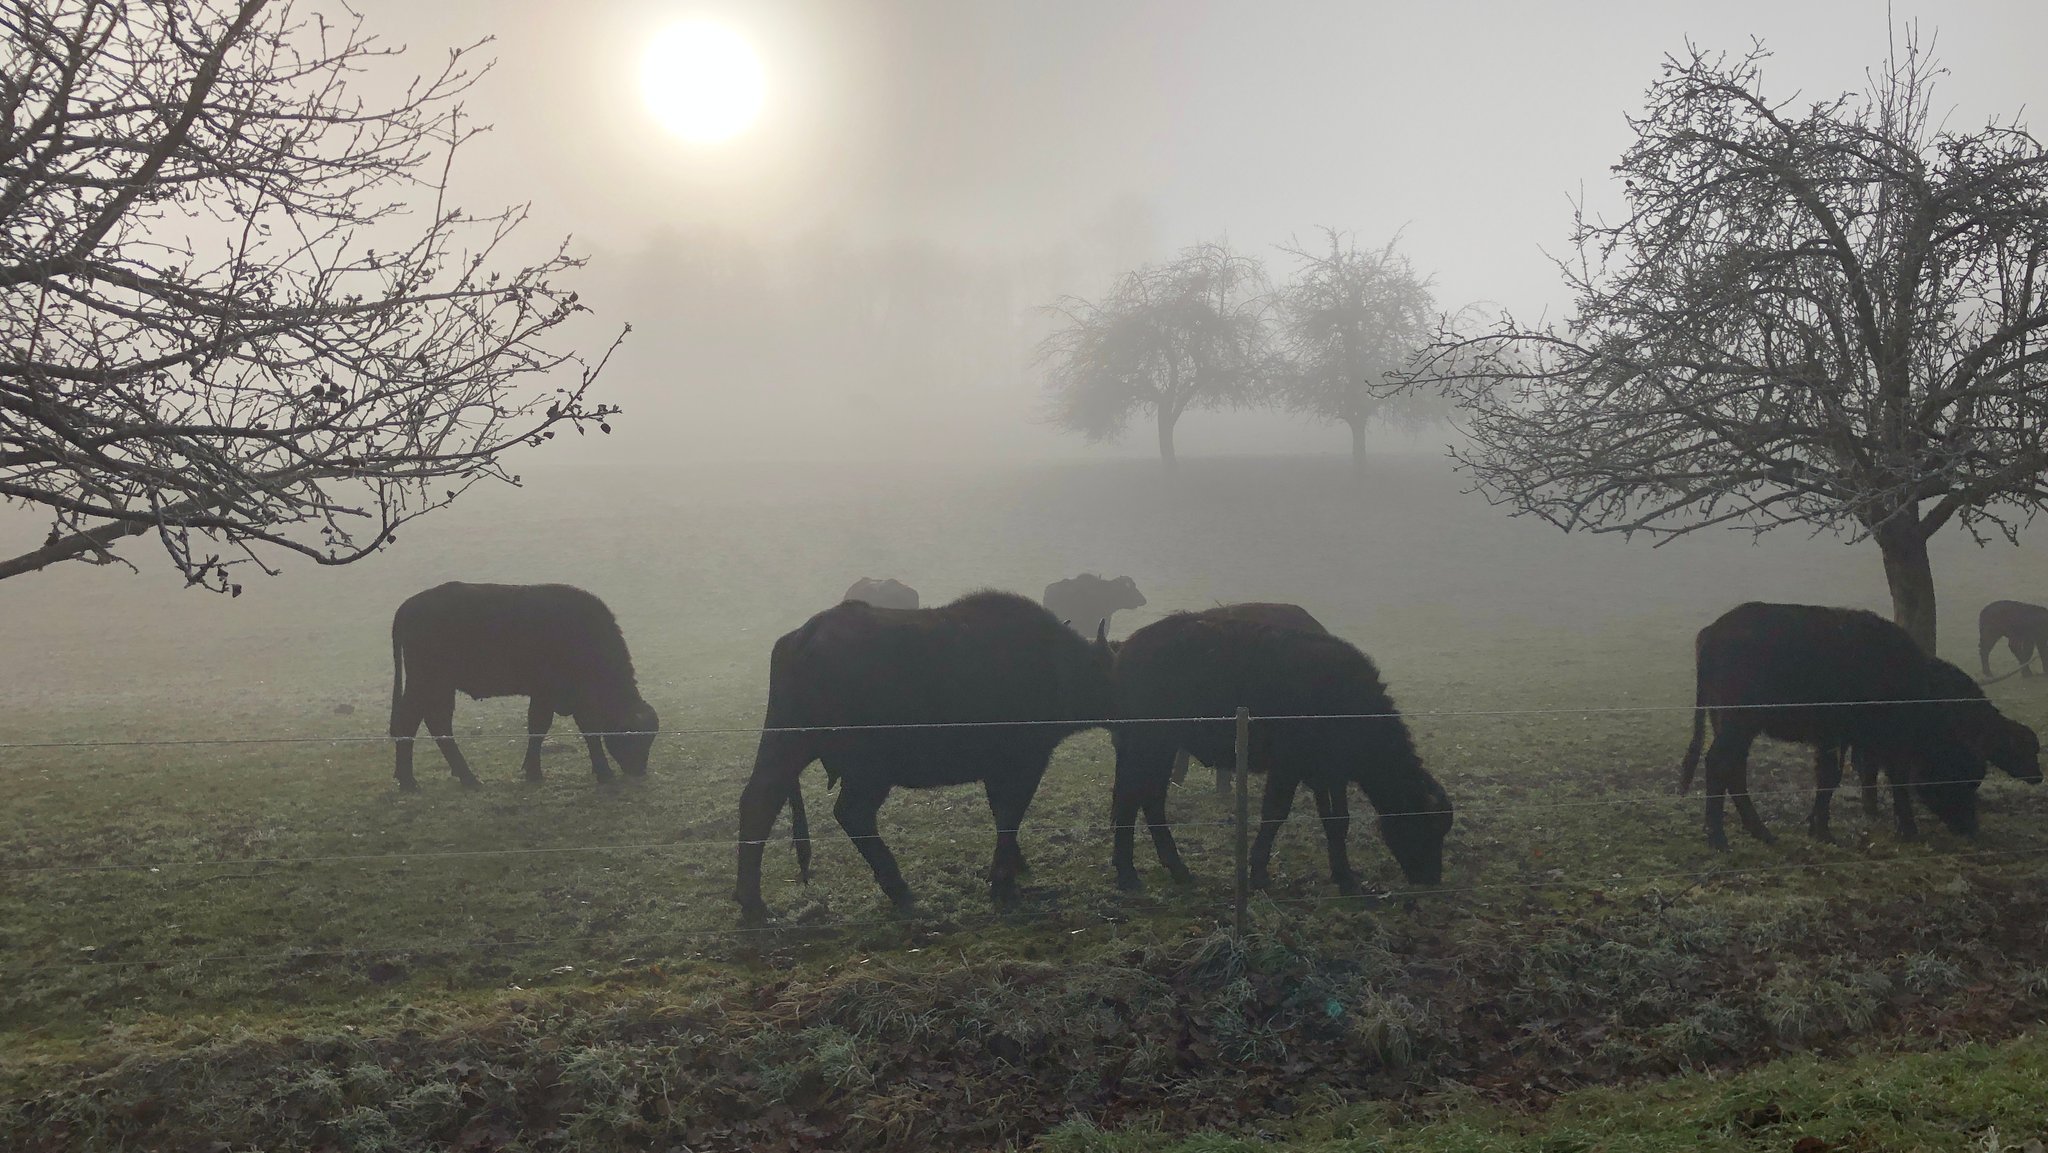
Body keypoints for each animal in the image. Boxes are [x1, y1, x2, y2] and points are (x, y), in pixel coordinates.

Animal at [387, 585, 659, 794]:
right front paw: (603, 772)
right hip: (426, 683)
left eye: (649, 738)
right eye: (631, 737)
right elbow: (580, 730)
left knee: (438, 724)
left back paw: (463, 776)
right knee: (409, 722)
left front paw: (533, 770)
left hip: (441, 688)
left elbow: (539, 728)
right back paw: (412, 781)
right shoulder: (560, 696)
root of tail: (408, 607)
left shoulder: (547, 695)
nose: (639, 771)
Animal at [737, 589, 1114, 925]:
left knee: (759, 801)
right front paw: (1003, 882)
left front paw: (1014, 866)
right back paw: (899, 890)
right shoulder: (1025, 762)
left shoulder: (998, 769)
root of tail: (804, 638)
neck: (1056, 665)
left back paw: (752, 903)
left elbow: (1002, 814)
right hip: (867, 767)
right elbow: (1010, 815)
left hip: (785, 740)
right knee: (852, 814)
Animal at [1671, 606, 2039, 847]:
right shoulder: (1865, 740)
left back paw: (1761, 831)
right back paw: (1718, 837)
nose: (1970, 828)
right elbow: (1878, 778)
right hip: (1738, 721)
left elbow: (1833, 779)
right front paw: (1905, 829)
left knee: (1734, 769)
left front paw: (1819, 827)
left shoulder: (1839, 738)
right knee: (1718, 764)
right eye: (1961, 777)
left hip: (1732, 724)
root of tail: (1713, 632)